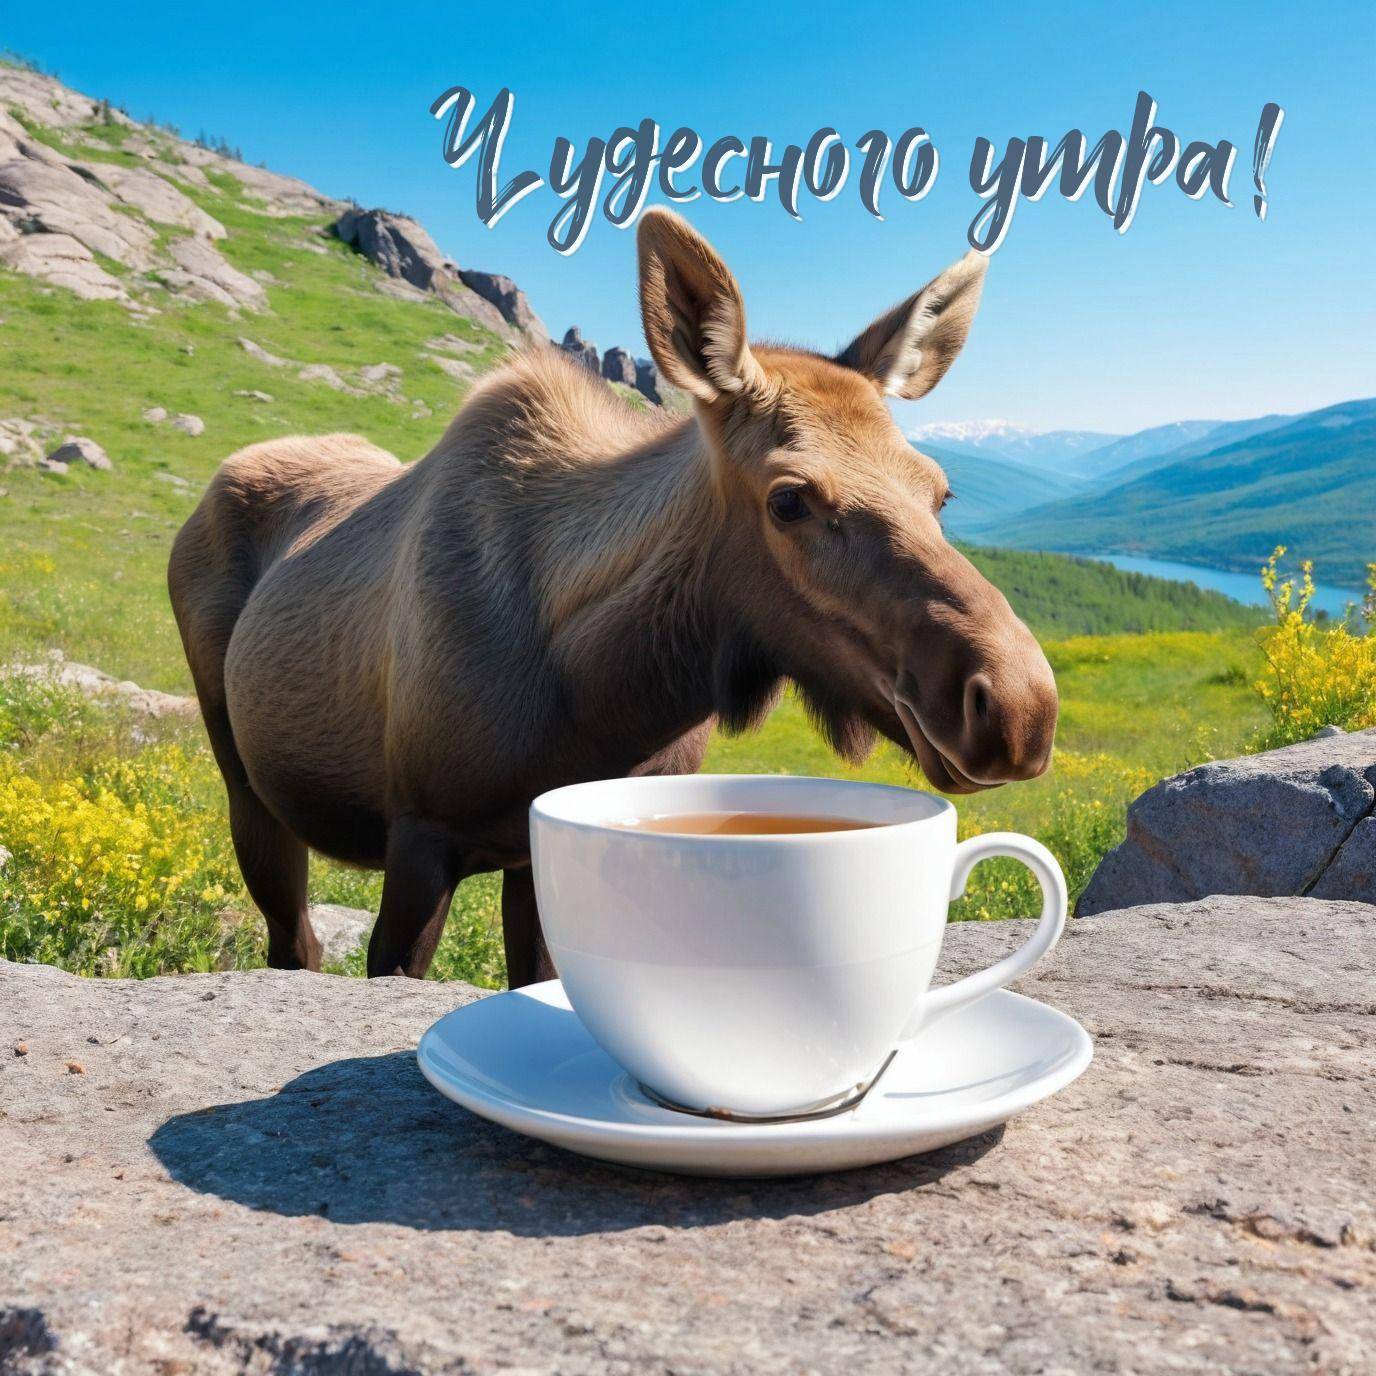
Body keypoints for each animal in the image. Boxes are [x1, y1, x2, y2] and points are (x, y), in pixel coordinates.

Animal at [168, 207, 1058, 988]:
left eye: (939, 491)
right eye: (789, 499)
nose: (1017, 704)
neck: (606, 691)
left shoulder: (540, 844)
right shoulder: (421, 833)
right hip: (244, 779)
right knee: (294, 941)